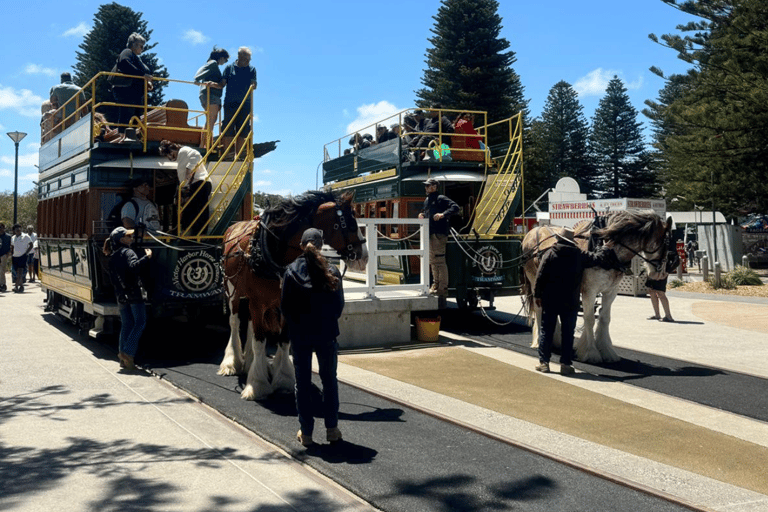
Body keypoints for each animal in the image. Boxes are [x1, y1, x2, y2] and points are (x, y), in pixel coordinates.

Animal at [219, 191, 368, 400]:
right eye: (352, 222)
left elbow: (283, 340)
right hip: (231, 288)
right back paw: (231, 363)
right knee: (234, 322)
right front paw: (257, 385)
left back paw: (250, 363)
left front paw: (283, 378)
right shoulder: (258, 303)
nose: (365, 256)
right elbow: (260, 342)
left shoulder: (284, 303)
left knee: (248, 324)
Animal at [520, 209, 672, 364]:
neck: (609, 255)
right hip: (535, 280)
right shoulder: (589, 291)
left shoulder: (611, 292)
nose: (666, 270)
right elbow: (590, 319)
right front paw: (590, 352)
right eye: (667, 241)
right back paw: (540, 340)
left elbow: (605, 319)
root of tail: (533, 231)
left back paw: (554, 341)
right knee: (540, 308)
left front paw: (606, 350)